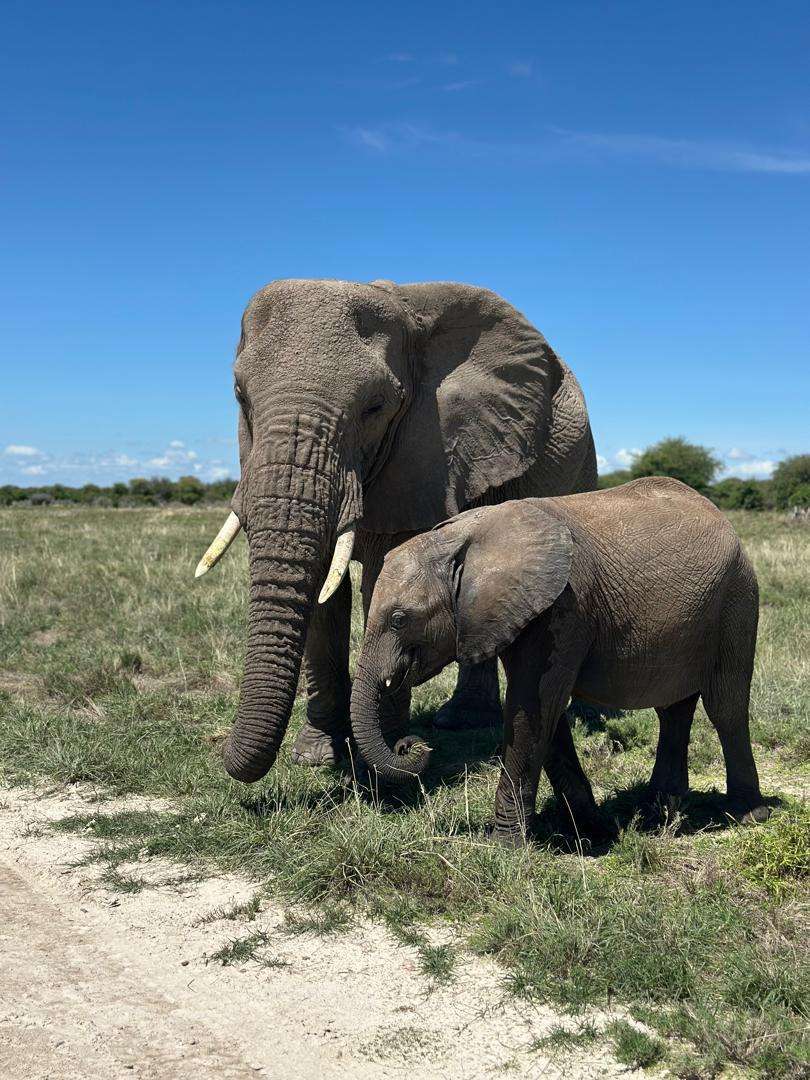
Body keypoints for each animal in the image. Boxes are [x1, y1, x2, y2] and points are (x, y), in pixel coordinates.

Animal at [195, 278, 596, 783]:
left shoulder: (426, 456)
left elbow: (381, 580)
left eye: (375, 407)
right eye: (240, 395)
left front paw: (385, 760)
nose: (219, 746)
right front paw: (317, 756)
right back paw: (461, 721)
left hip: (581, 464)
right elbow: (322, 595)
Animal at [350, 477, 770, 844]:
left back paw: (748, 814)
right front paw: (594, 830)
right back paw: (659, 808)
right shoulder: (521, 613)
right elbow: (545, 716)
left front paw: (504, 846)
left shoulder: (563, 608)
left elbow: (532, 708)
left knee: (726, 706)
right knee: (673, 709)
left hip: (737, 600)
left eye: (399, 619)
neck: (461, 538)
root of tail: (721, 516)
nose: (411, 745)